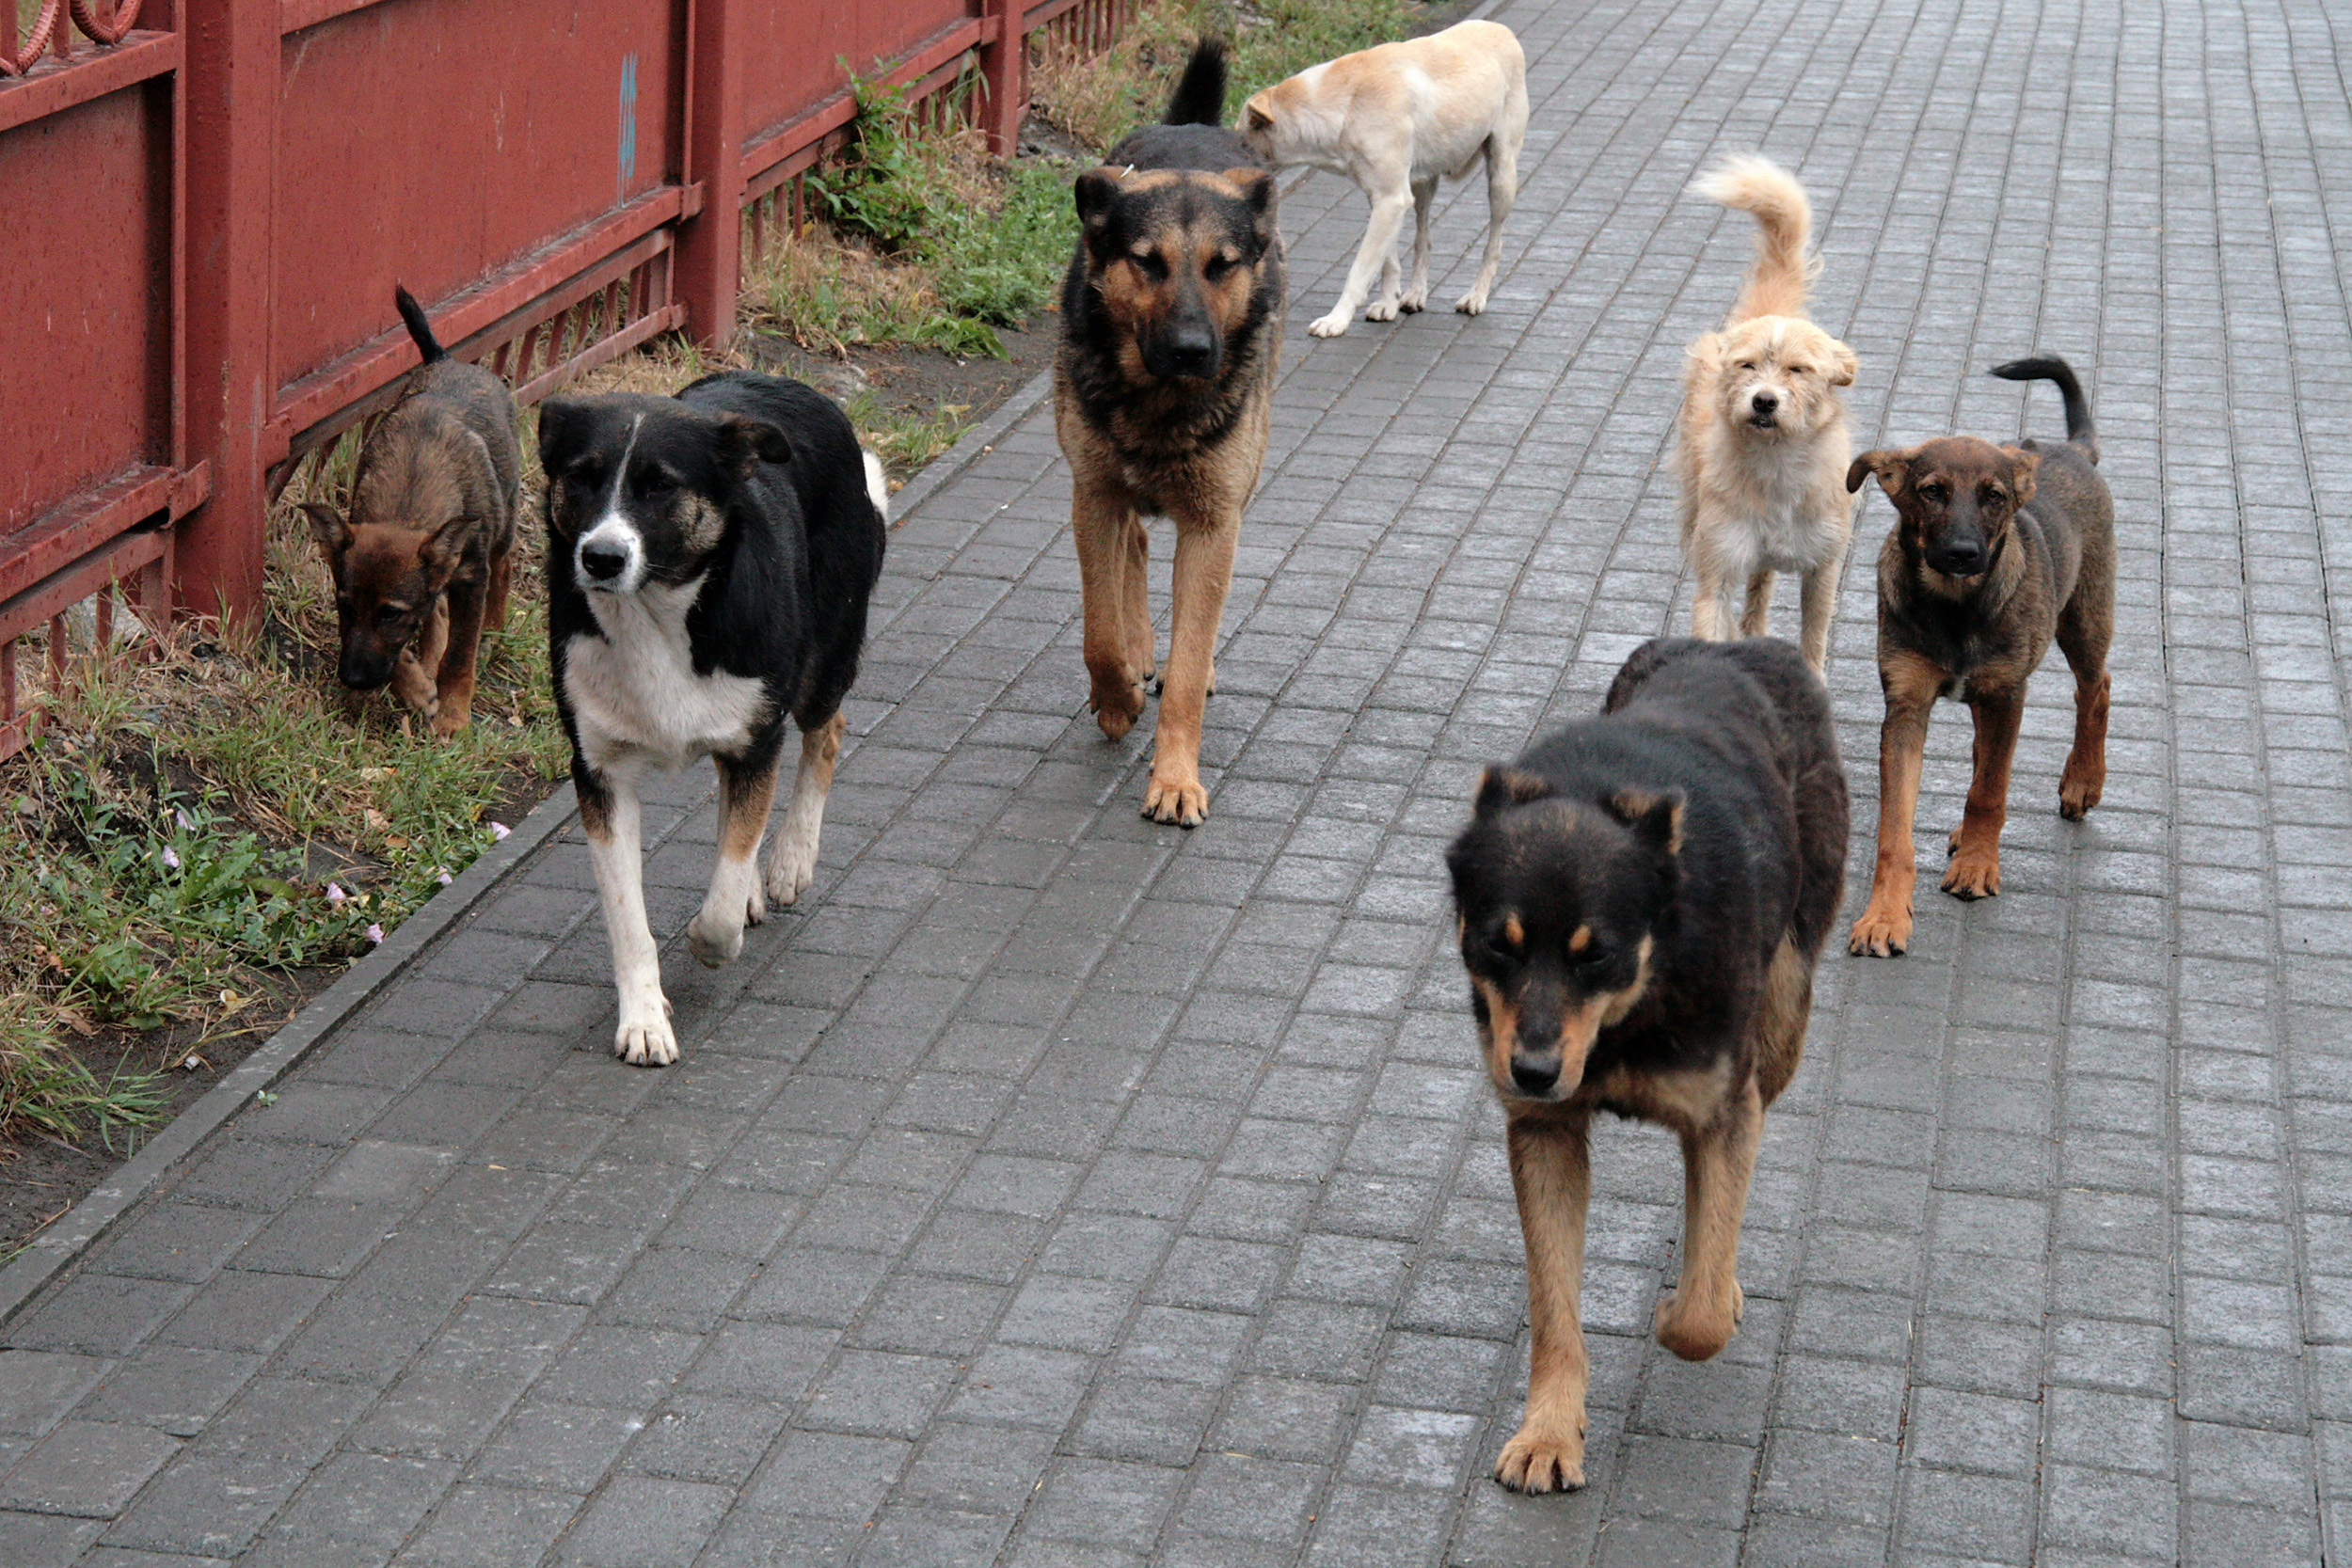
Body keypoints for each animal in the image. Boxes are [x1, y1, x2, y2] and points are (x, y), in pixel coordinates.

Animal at [308, 286, 519, 737]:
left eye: (391, 613)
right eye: (343, 604)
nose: (351, 679)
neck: (409, 501)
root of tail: (445, 359)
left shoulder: (471, 577)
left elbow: (460, 655)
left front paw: (454, 715)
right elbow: (412, 639)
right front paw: (416, 685)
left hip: (504, 524)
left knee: (504, 566)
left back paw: (493, 629)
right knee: (437, 610)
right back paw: (425, 664)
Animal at [538, 375, 884, 1067]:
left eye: (660, 486)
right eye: (580, 476)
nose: (601, 557)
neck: (653, 614)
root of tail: (796, 387)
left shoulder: (758, 740)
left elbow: (723, 895)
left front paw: (709, 936)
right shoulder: (599, 774)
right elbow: (628, 915)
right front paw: (644, 1019)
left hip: (820, 663)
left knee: (826, 733)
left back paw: (789, 861)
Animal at [1242, 19, 1534, 341]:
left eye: (1240, 142)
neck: (1345, 102)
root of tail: (1500, 28)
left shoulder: (1391, 199)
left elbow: (1360, 270)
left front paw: (1336, 319)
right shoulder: (1383, 198)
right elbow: (1388, 261)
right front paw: (1387, 304)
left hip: (1501, 179)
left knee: (1494, 244)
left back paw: (1476, 297)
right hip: (1422, 186)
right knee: (1424, 240)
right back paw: (1416, 294)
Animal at [1684, 156, 1863, 672]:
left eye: (1798, 369)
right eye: (1747, 365)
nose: (1764, 401)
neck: (1776, 464)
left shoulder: (1824, 569)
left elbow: (1813, 639)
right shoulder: (1718, 565)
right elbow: (1715, 624)